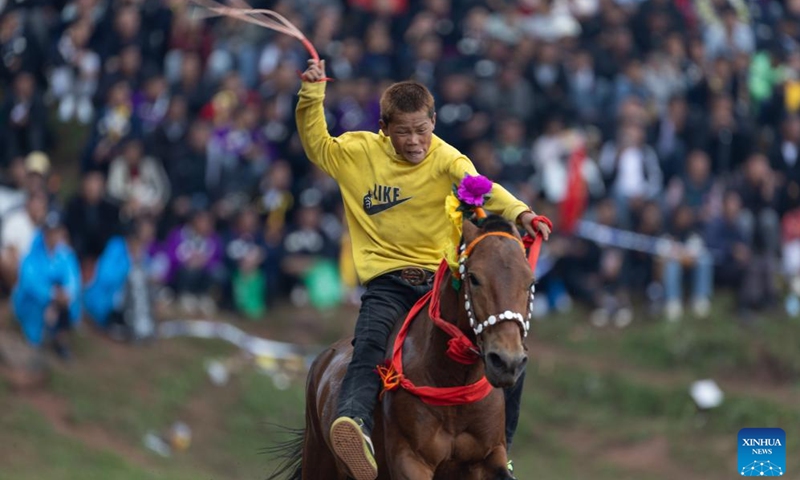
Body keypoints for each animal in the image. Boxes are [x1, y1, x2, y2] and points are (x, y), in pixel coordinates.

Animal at [272, 216, 536, 478]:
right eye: (474, 277)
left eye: (530, 282)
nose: (507, 360)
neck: (451, 382)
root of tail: (323, 359)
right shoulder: (409, 458)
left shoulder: (488, 456)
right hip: (318, 457)